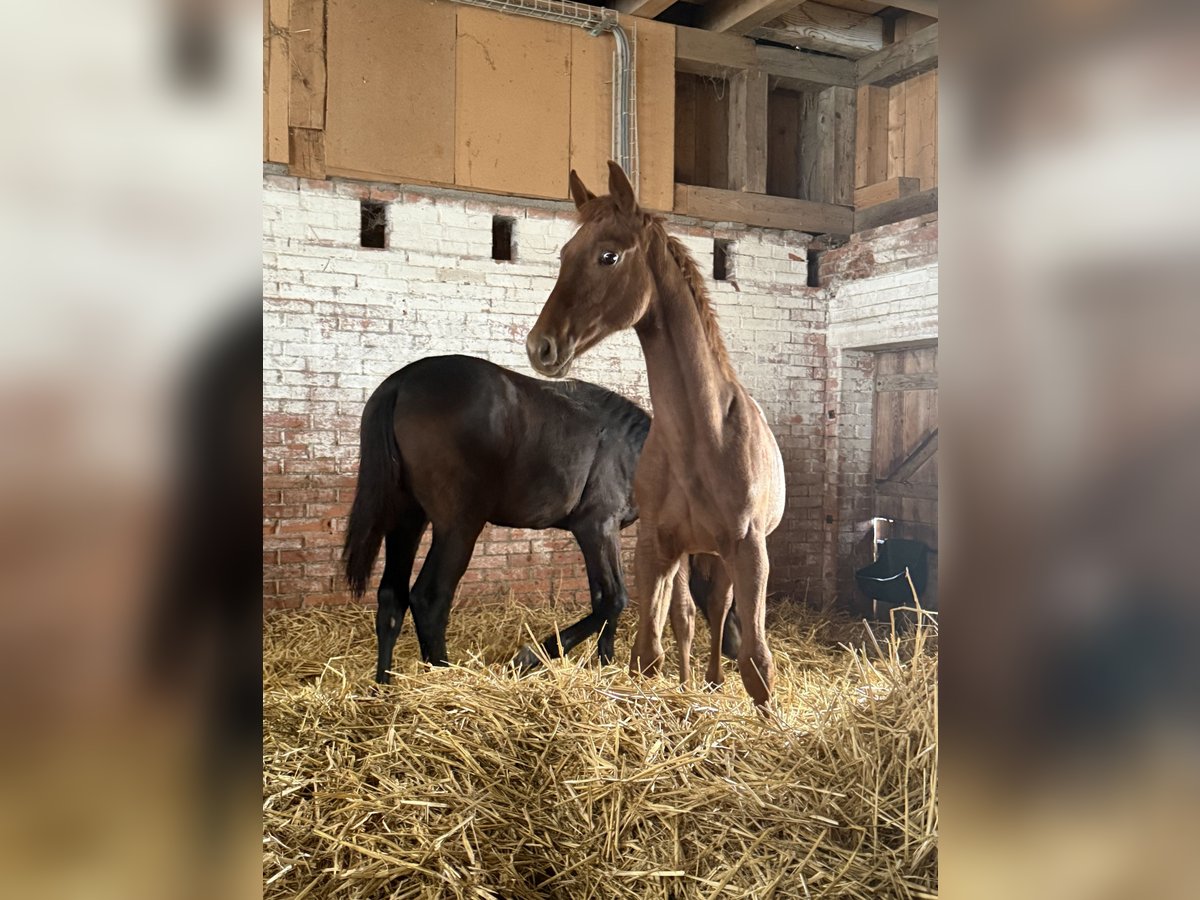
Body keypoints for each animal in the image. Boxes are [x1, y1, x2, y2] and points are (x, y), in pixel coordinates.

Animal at [342, 354, 738, 683]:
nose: (737, 653)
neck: (635, 453)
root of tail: (402, 383)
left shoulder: (596, 534)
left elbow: (603, 602)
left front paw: (605, 664)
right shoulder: (598, 527)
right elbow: (613, 599)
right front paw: (529, 658)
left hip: (407, 519)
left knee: (392, 599)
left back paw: (385, 685)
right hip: (458, 527)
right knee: (429, 599)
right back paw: (444, 674)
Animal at [526, 162, 787, 707]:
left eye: (608, 255)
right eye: (564, 254)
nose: (541, 346)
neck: (702, 437)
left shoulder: (750, 550)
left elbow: (757, 664)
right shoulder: (656, 547)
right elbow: (648, 652)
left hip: (722, 555)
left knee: (718, 611)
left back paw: (711, 681)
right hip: (691, 554)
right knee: (688, 616)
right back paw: (695, 684)